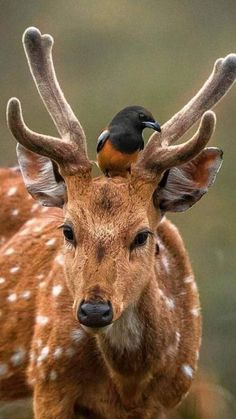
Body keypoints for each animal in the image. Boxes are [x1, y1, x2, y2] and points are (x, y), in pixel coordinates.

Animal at [0, 27, 235, 419]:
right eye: (67, 230)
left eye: (143, 236)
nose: (94, 308)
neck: (128, 382)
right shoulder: (48, 375)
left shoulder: (171, 395)